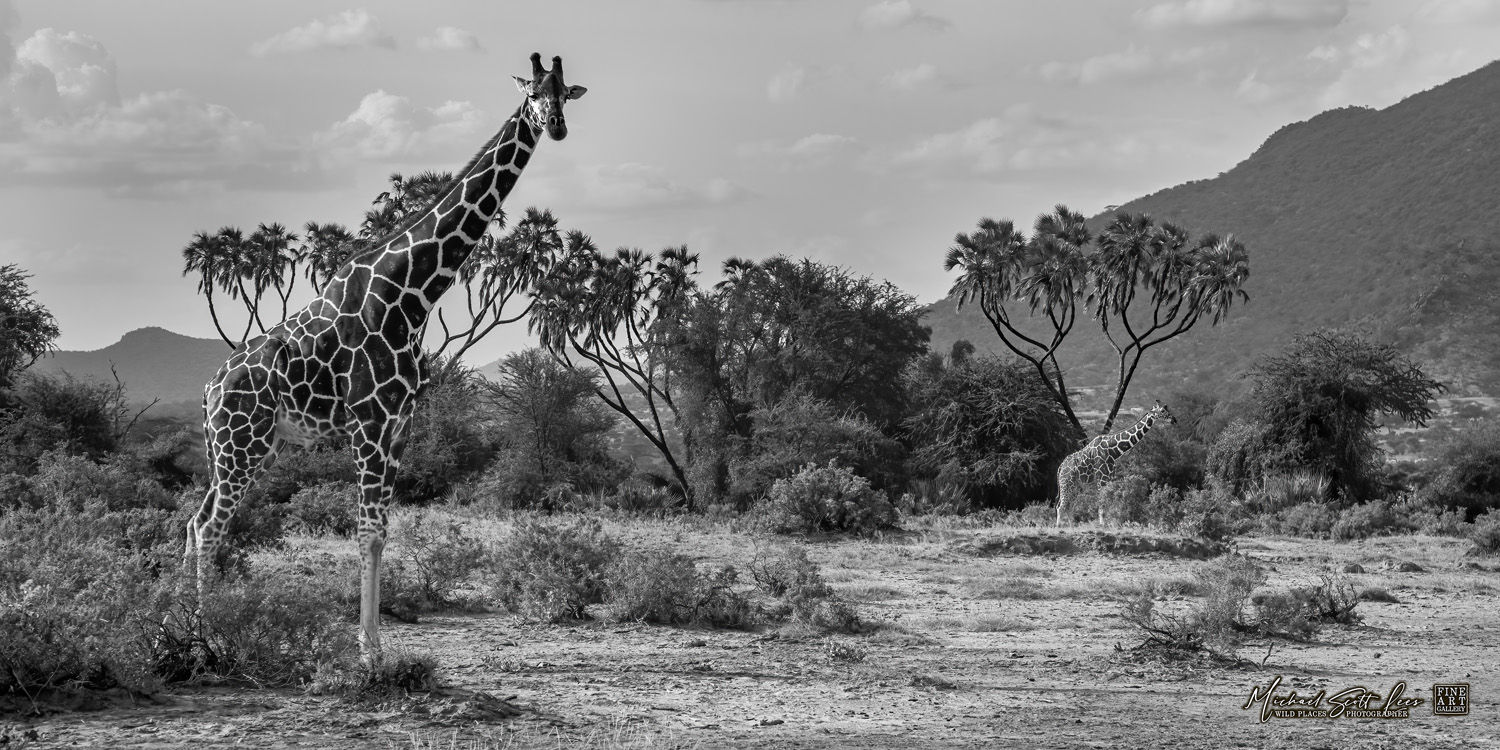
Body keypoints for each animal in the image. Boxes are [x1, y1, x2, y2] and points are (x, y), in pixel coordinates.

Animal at [186, 53, 586, 663]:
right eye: (532, 93)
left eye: (564, 92)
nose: (557, 126)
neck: (413, 292)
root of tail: (210, 389)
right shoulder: (369, 422)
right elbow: (366, 532)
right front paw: (369, 653)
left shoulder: (400, 424)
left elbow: (382, 534)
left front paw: (376, 646)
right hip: (242, 442)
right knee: (210, 526)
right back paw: (206, 638)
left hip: (250, 445)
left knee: (196, 520)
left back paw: (179, 625)